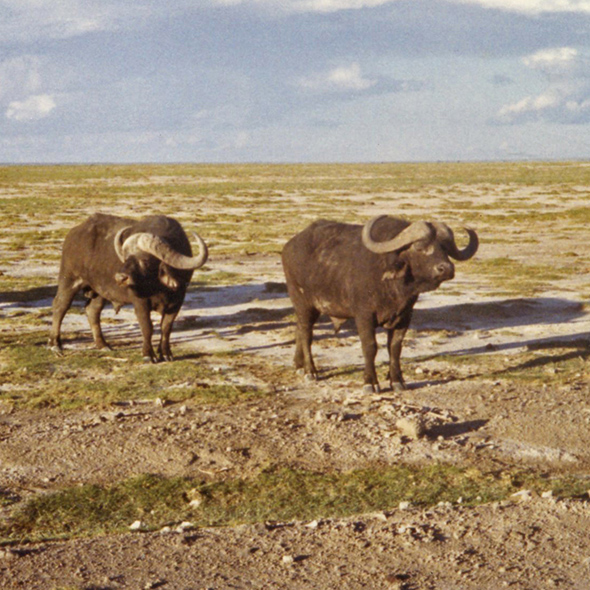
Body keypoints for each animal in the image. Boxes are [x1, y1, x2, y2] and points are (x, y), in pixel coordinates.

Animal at [49, 213, 210, 360]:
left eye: (145, 260)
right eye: (127, 257)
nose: (120, 278)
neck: (159, 288)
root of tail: (74, 233)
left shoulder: (177, 302)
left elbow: (166, 327)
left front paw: (165, 353)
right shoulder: (140, 302)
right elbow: (147, 327)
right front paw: (148, 354)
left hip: (100, 291)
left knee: (92, 310)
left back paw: (103, 345)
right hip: (69, 280)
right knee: (60, 306)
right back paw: (55, 344)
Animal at [282, 216, 480, 394]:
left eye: (445, 248)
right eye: (419, 246)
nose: (446, 269)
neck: (394, 288)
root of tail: (289, 246)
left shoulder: (404, 317)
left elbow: (395, 348)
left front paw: (397, 381)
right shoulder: (364, 316)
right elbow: (370, 347)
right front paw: (370, 382)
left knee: (299, 329)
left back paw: (298, 364)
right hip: (303, 303)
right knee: (306, 334)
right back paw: (310, 371)